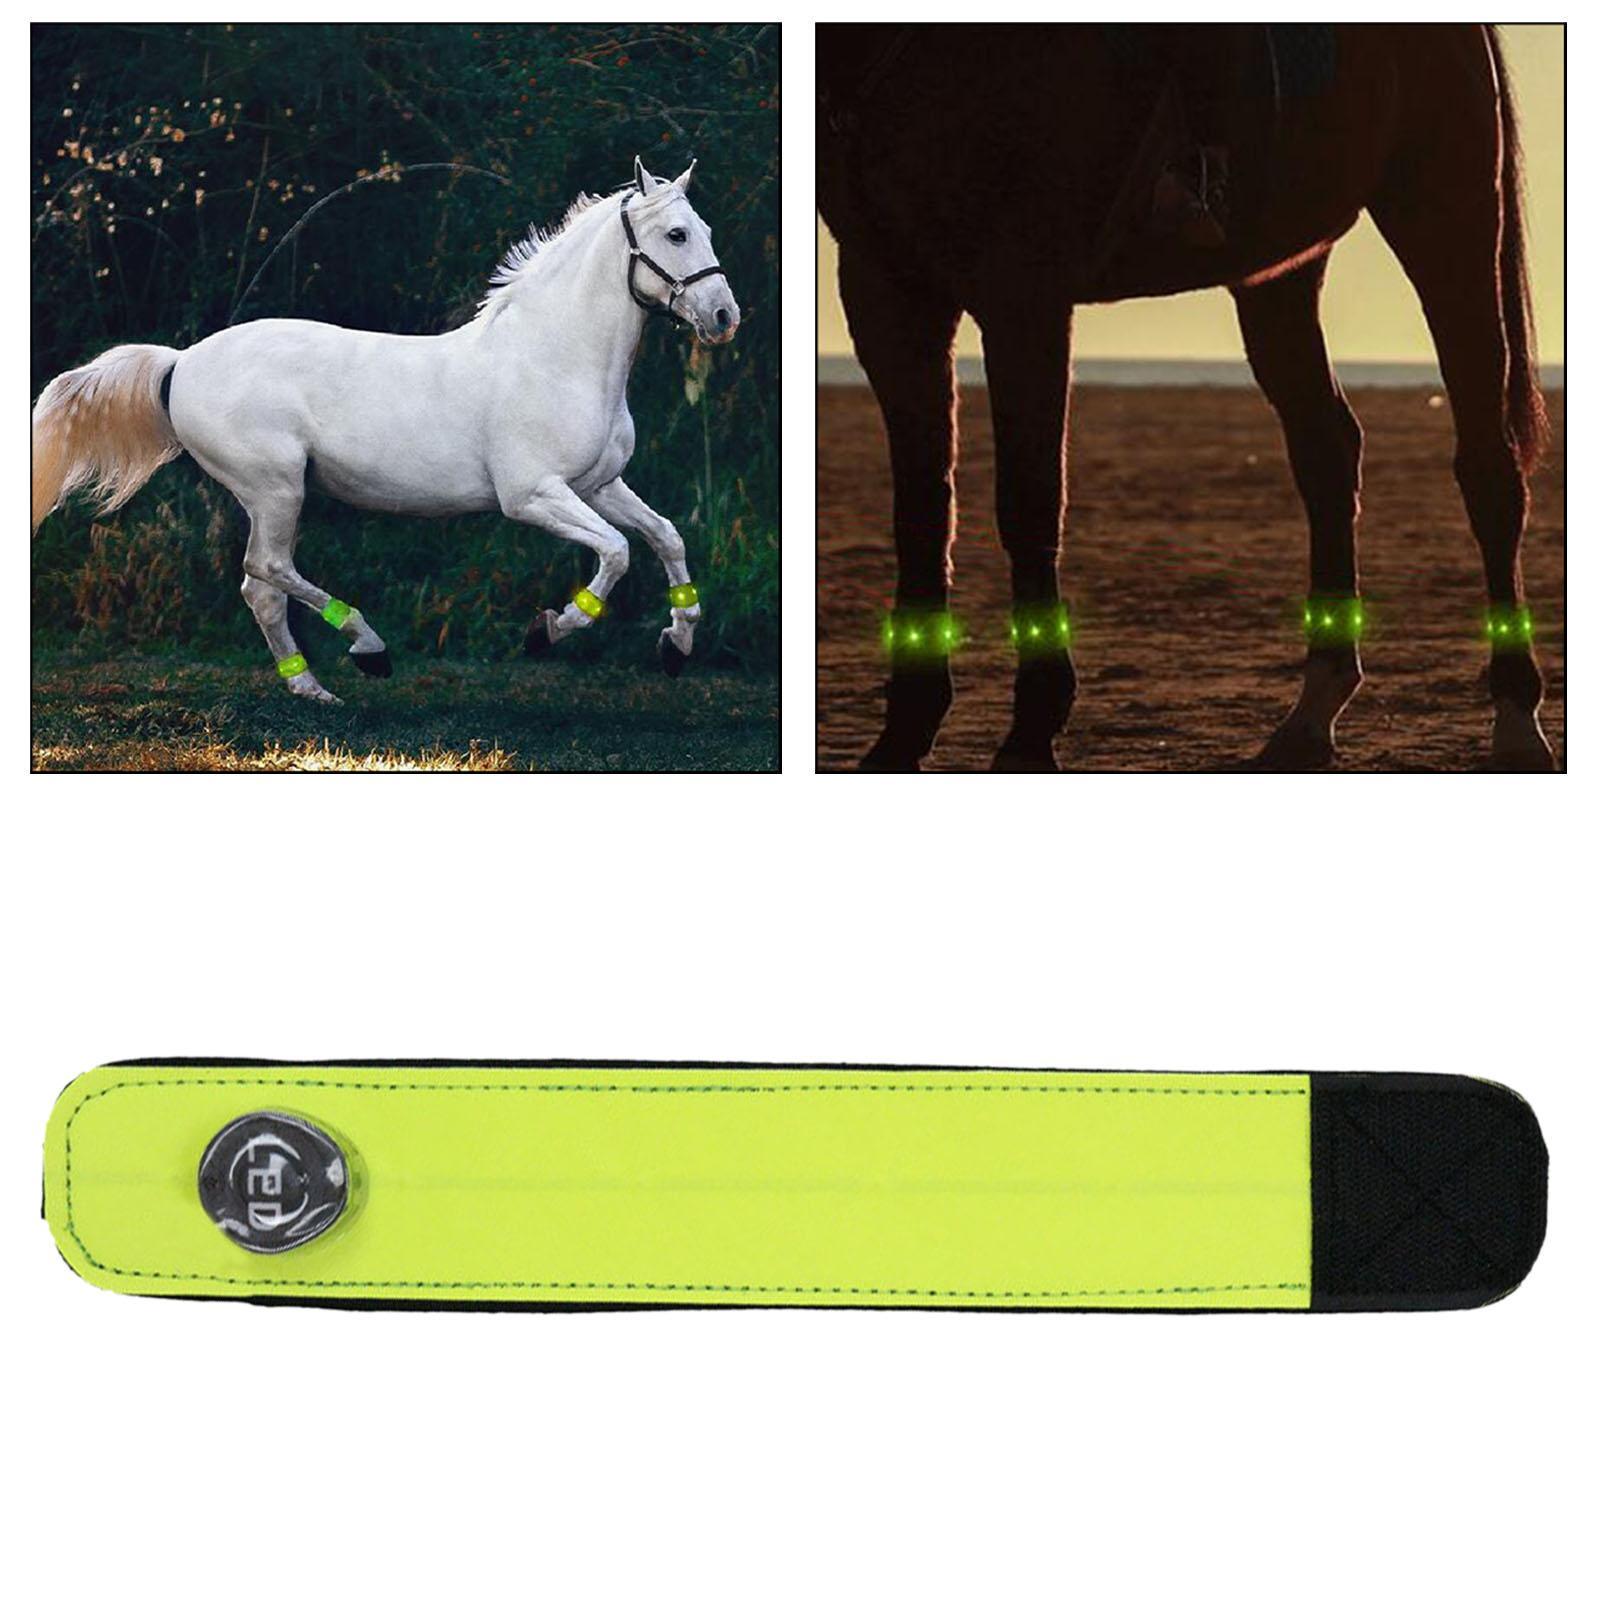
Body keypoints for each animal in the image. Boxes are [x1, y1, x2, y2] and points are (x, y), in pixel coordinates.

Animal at [31, 159, 740, 702]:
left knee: (260, 589)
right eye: (677, 234)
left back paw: (312, 689)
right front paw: (548, 629)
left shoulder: (598, 486)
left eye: (705, 230)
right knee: (267, 568)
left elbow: (665, 536)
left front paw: (677, 645)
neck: (554, 356)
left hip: (271, 496)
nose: (724, 317)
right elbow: (617, 553)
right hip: (276, 488)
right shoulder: (534, 495)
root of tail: (181, 362)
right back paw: (367, 648)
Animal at [819, 24, 1555, 771]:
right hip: (1280, 269)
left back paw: (1517, 723)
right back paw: (1312, 714)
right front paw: (903, 734)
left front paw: (1031, 733)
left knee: (1488, 468)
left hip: (1445, 220)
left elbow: (1029, 503)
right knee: (1327, 451)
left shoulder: (1024, 295)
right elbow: (921, 510)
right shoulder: (885, 292)